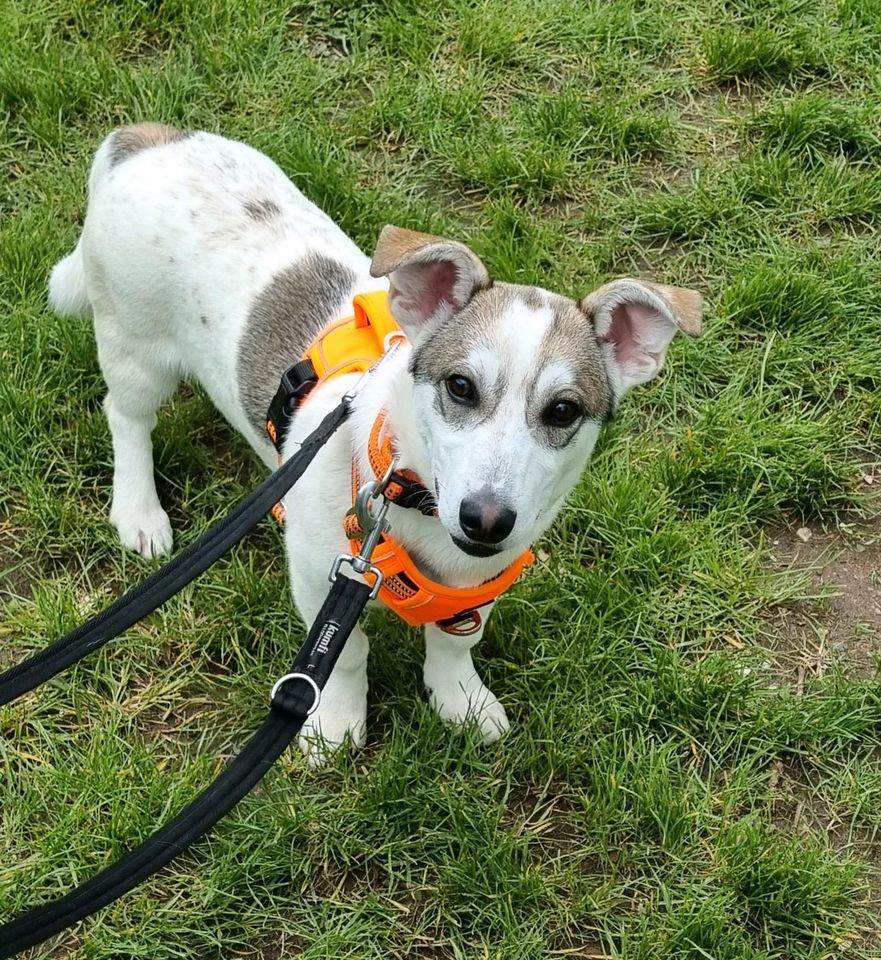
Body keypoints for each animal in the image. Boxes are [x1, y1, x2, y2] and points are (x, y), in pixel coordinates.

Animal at [51, 124, 704, 760]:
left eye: (563, 410)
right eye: (460, 386)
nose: (486, 519)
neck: (408, 499)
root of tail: (143, 139)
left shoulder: (478, 585)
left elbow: (455, 643)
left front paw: (460, 698)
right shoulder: (319, 575)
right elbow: (344, 656)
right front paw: (335, 723)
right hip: (134, 346)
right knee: (126, 417)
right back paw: (139, 510)